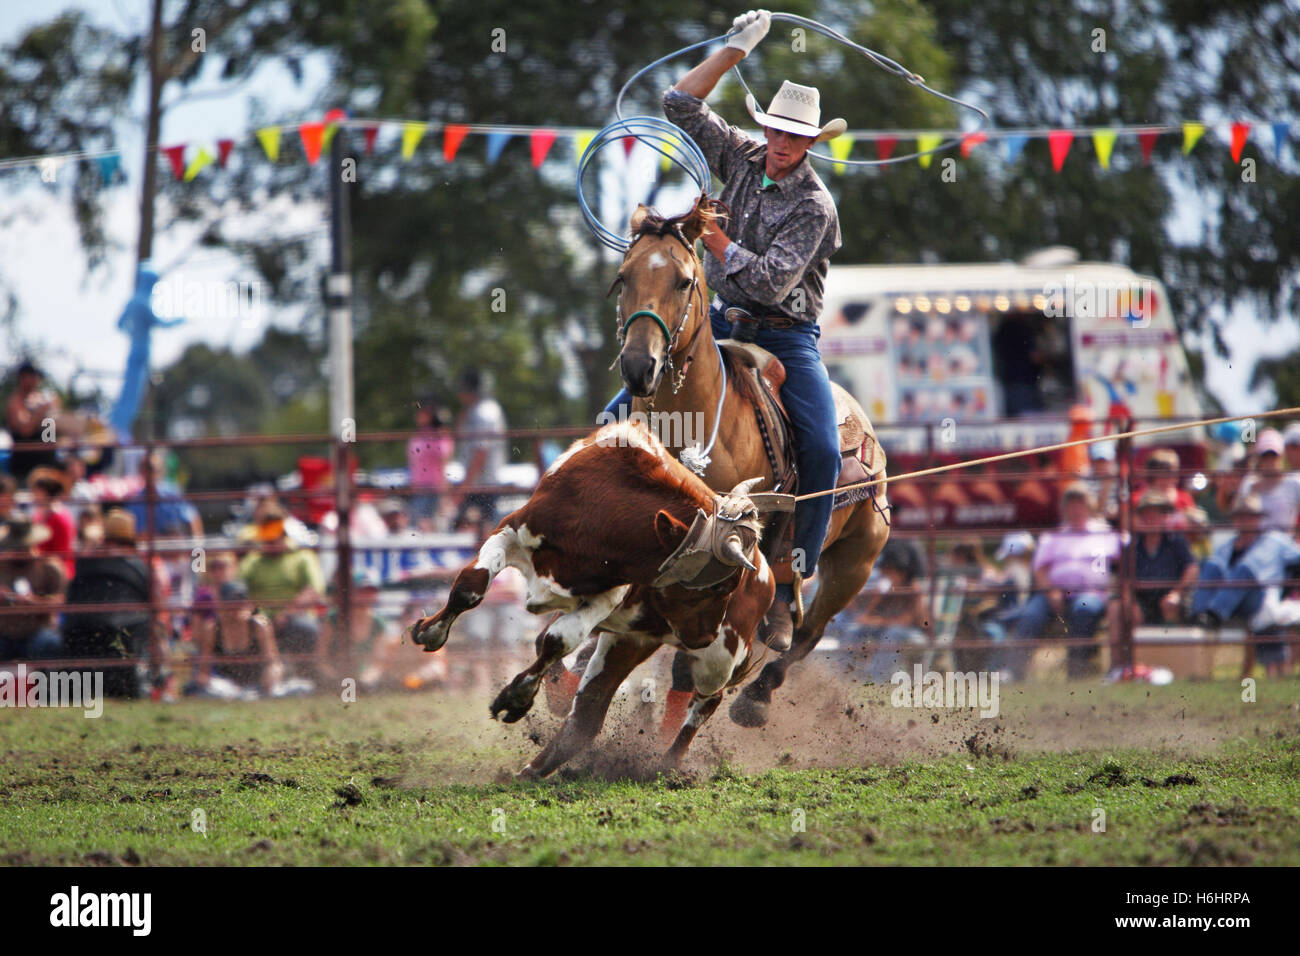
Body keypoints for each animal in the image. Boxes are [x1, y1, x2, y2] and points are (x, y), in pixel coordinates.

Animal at [408, 421, 769, 780]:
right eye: (721, 587)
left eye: (734, 586)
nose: (704, 636)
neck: (605, 507)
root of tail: (765, 572)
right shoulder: (511, 530)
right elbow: (470, 587)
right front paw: (429, 632)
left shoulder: (611, 594)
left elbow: (558, 640)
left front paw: (517, 697)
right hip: (627, 641)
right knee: (589, 714)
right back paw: (533, 771)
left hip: (720, 658)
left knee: (706, 701)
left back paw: (668, 763)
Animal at [608, 197, 894, 728]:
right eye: (622, 277)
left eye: (684, 281)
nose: (639, 366)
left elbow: (687, 658)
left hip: (857, 561)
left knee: (808, 631)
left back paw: (758, 695)